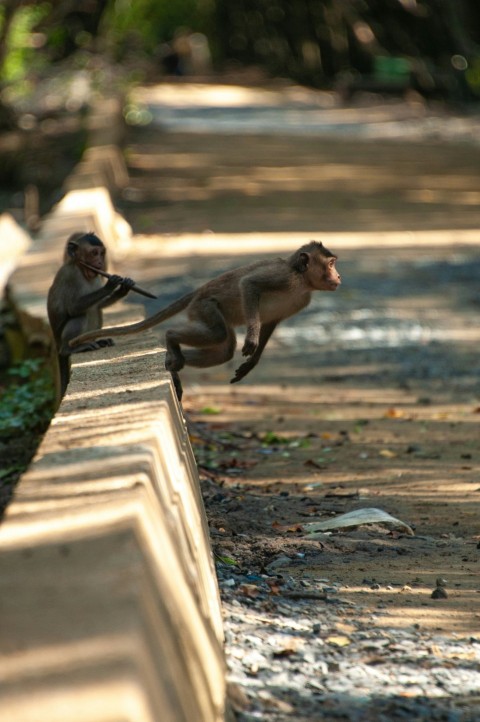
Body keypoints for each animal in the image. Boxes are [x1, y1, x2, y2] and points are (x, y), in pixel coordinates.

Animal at [47, 232, 135, 397]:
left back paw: (99, 341)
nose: (100, 262)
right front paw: (110, 284)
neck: (82, 270)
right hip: (63, 341)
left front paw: (123, 288)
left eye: (102, 253)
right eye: (94, 253)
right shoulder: (71, 276)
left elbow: (99, 305)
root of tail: (56, 342)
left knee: (96, 311)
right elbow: (73, 308)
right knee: (81, 315)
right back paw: (71, 348)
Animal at [70, 240, 341, 400]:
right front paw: (252, 338)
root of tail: (198, 291)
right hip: (205, 307)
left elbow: (271, 322)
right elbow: (249, 284)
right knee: (217, 334)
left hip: (203, 311)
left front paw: (252, 362)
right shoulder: (284, 277)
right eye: (330, 264)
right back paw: (171, 340)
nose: (338, 276)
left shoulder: (300, 300)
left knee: (223, 349)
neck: (301, 280)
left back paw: (172, 362)